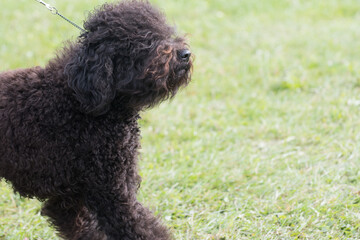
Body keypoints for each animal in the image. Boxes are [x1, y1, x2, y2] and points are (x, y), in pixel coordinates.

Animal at [0, 0, 193, 239]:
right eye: (145, 40)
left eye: (165, 30)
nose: (185, 53)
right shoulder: (112, 193)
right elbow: (142, 228)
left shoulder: (69, 200)